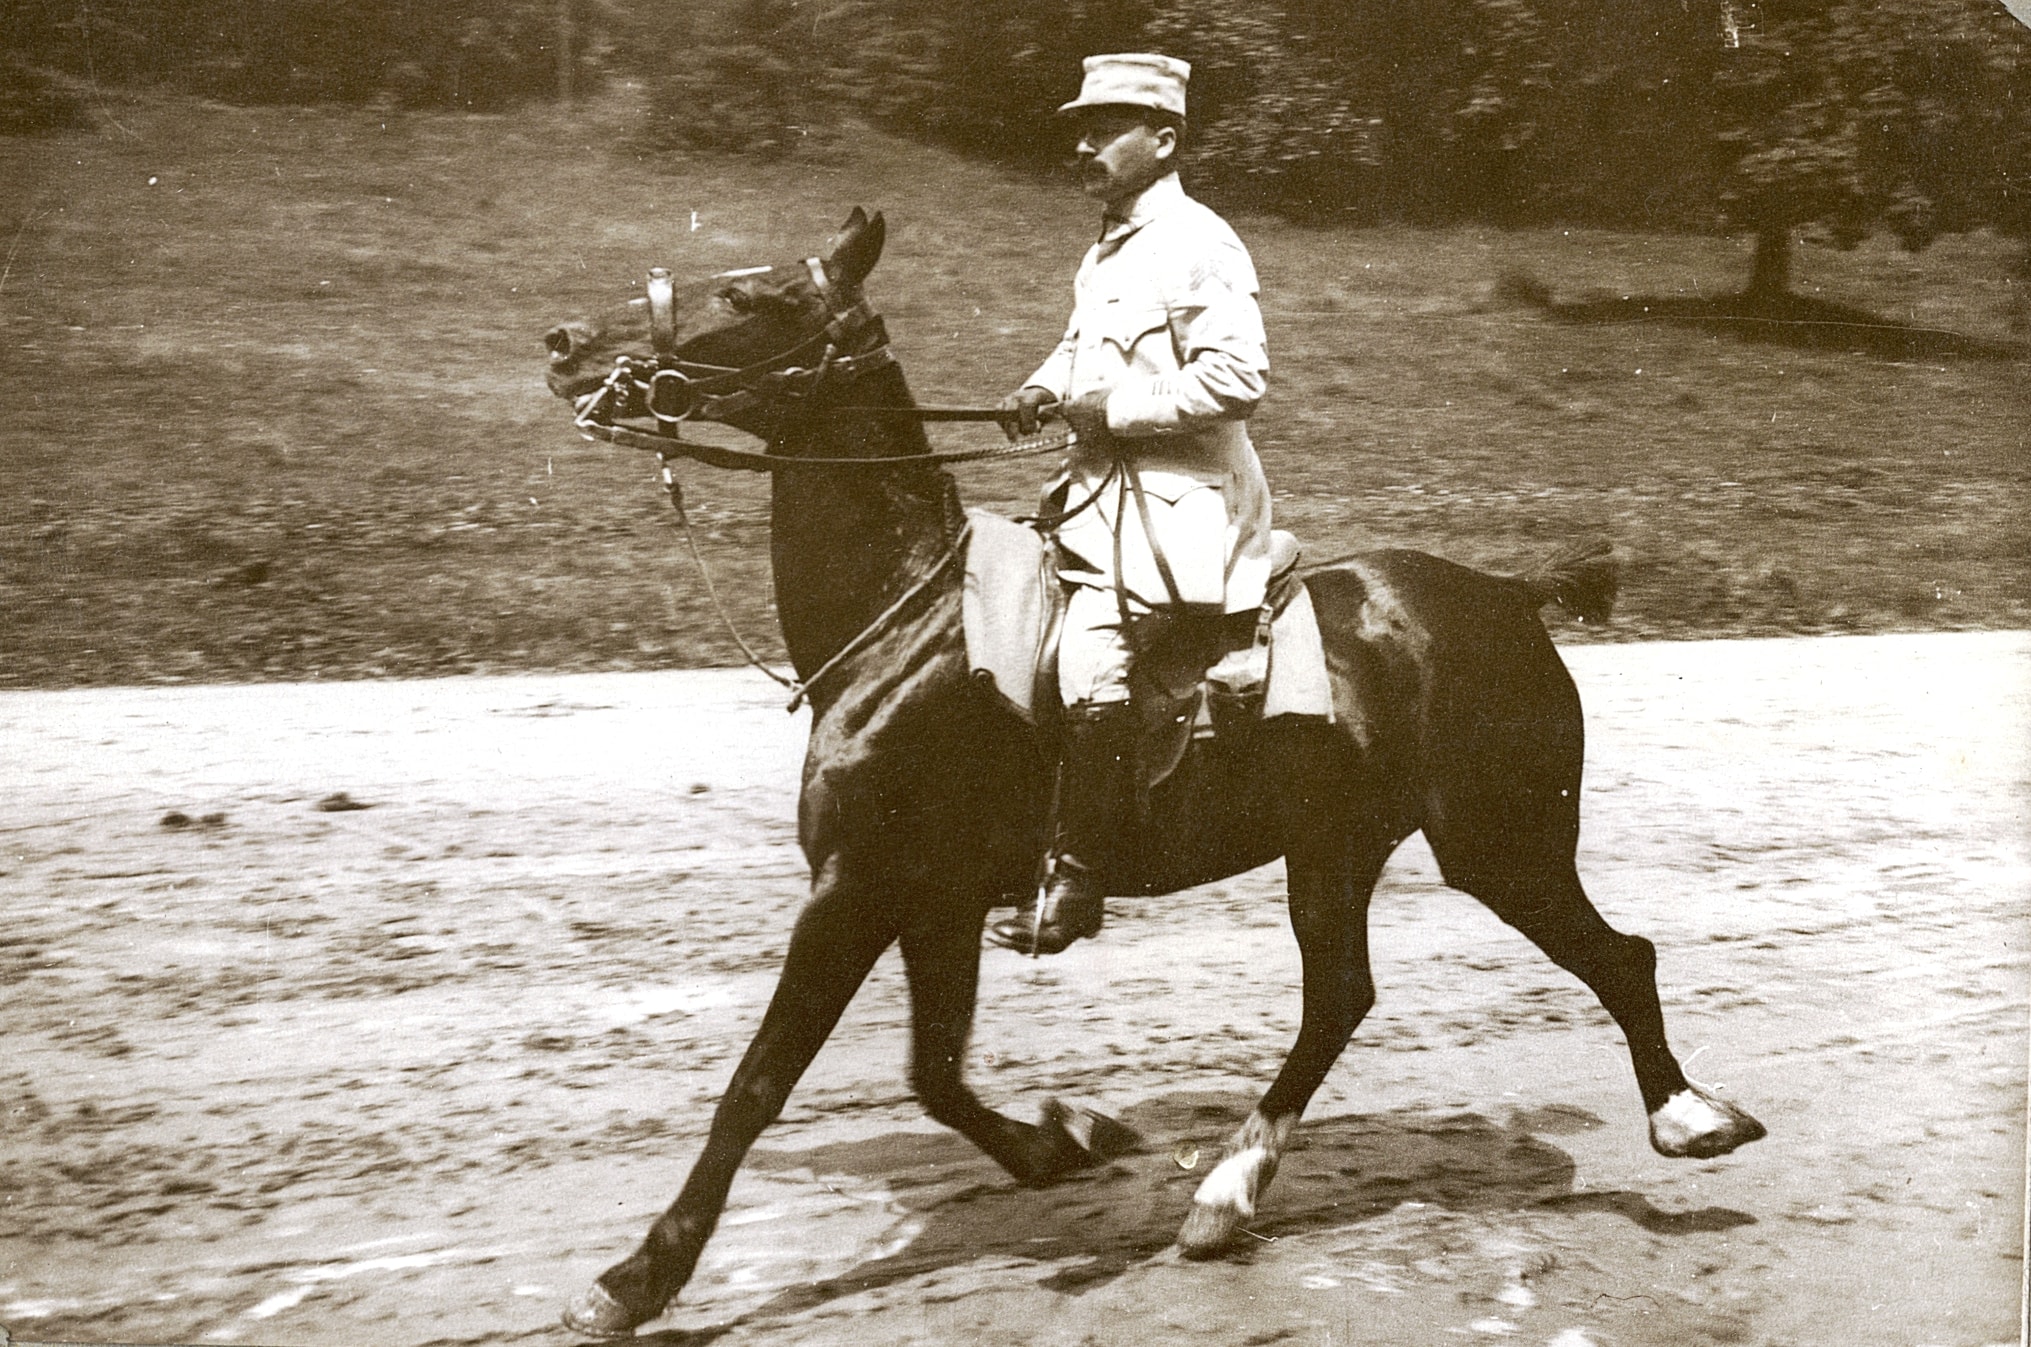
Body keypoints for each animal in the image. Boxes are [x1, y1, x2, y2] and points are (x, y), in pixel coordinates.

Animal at [540, 208, 1766, 1336]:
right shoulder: (933, 899)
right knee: (1342, 998)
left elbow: (757, 1084)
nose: (564, 342)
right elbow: (934, 1072)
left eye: (748, 297)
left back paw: (1688, 1117)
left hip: (1501, 843)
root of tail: (1510, 593)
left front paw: (636, 1278)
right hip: (1337, 850)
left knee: (1616, 956)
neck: (911, 618)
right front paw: (1062, 1142)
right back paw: (1226, 1193)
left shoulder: (855, 889)